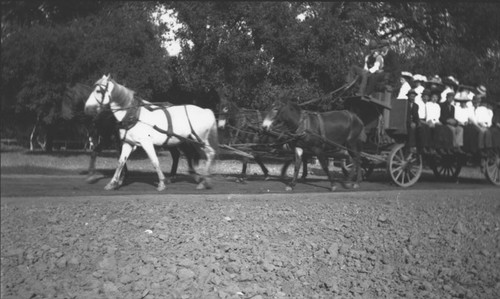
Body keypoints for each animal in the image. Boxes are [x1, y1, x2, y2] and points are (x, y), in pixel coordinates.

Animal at [84, 75, 219, 192]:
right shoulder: (128, 143)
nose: (87, 108)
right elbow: (120, 162)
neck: (133, 115)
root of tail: (206, 111)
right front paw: (113, 183)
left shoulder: (146, 142)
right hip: (188, 141)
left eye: (98, 91)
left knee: (210, 154)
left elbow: (154, 161)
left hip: (199, 140)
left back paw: (203, 181)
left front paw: (161, 183)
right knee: (192, 155)